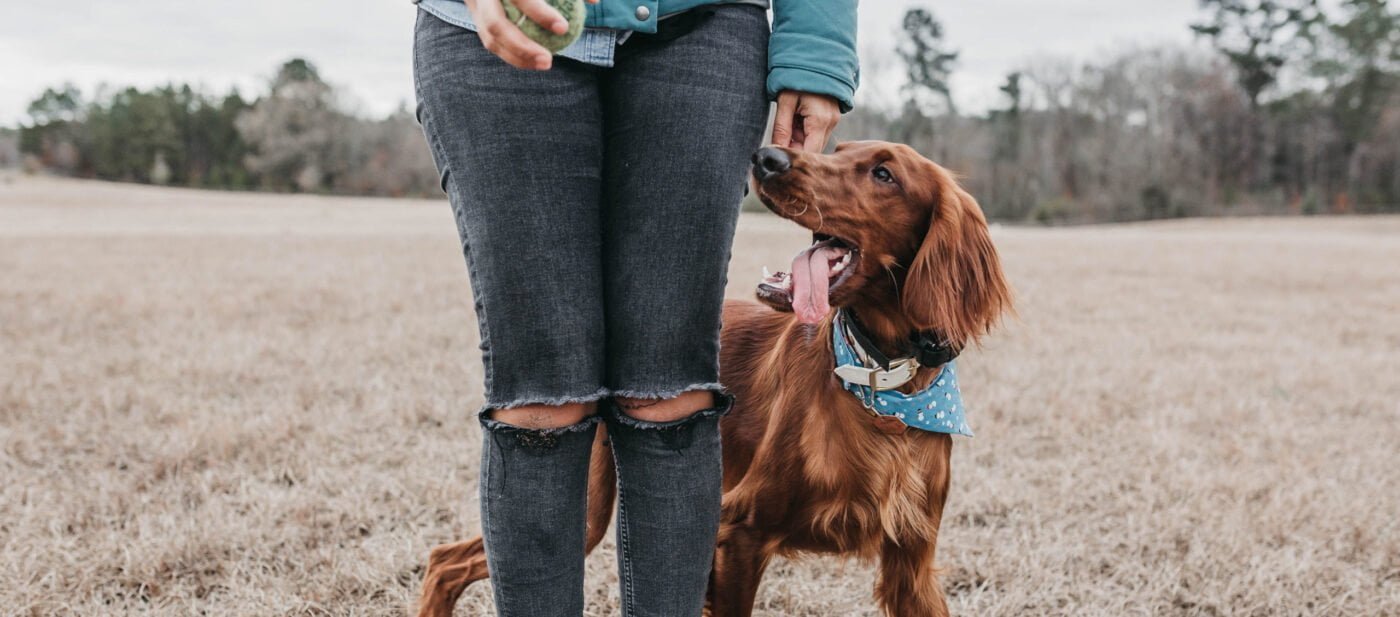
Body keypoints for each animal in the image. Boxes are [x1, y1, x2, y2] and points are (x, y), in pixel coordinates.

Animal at [411, 140, 1008, 615]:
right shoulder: (739, 532)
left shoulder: (912, 562)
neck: (880, 381)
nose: (768, 158)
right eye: (838, 149)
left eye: (884, 174)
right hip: (585, 502)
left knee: (449, 559)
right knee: (445, 561)